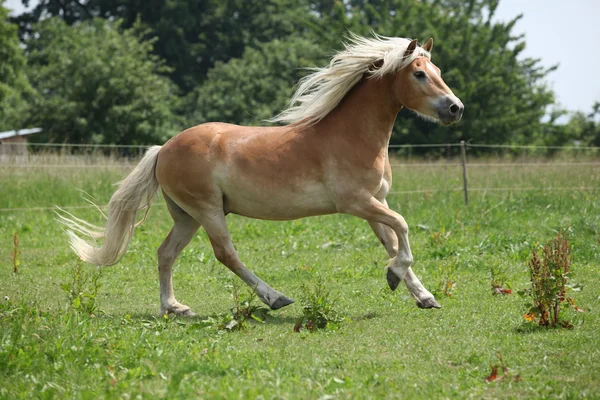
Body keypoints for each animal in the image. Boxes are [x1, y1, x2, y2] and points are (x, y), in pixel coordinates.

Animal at [58, 33, 464, 316]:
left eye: (439, 72)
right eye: (419, 74)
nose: (455, 108)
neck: (354, 135)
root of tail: (164, 149)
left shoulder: (375, 202)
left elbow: (393, 241)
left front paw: (421, 294)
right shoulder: (357, 203)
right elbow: (403, 229)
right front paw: (397, 276)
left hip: (187, 216)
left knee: (165, 253)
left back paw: (173, 308)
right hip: (207, 210)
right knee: (226, 254)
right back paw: (275, 298)